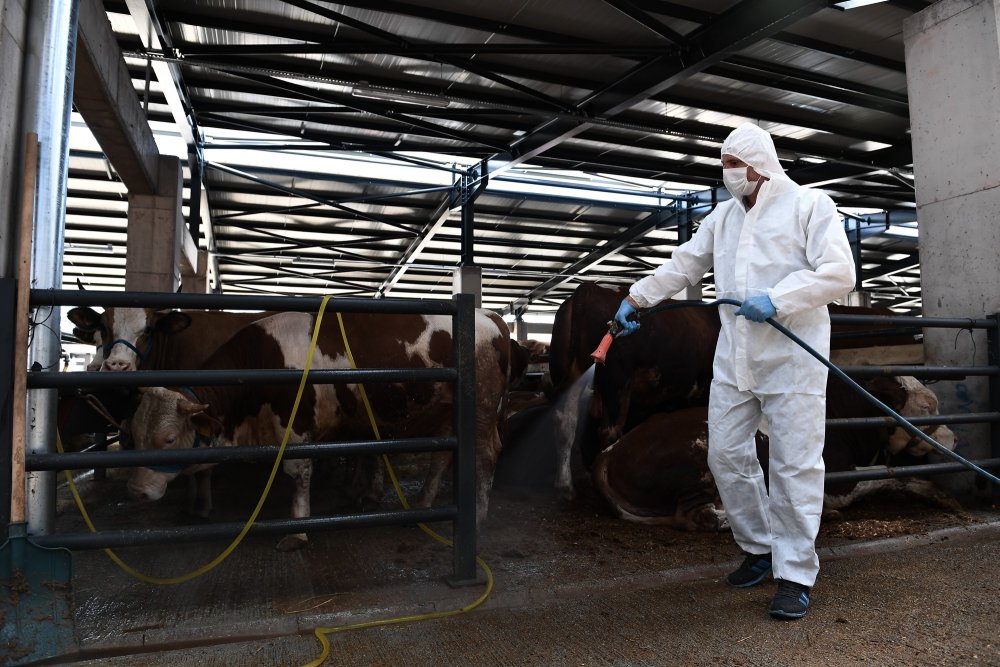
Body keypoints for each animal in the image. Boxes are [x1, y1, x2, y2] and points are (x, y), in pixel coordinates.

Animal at [126, 310, 512, 552]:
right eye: (135, 435)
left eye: (169, 439)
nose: (137, 491)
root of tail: (489, 318)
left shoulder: (295, 425)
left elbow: (297, 474)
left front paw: (297, 533)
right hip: (448, 411)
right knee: (443, 455)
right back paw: (422, 507)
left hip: (479, 407)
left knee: (486, 453)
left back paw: (476, 520)